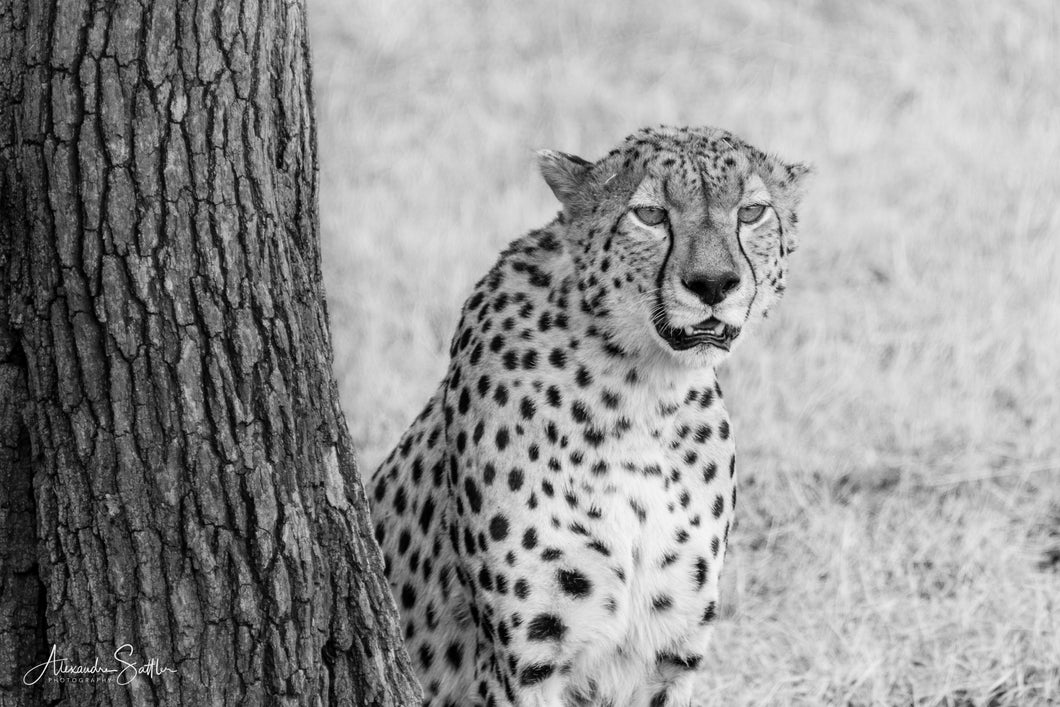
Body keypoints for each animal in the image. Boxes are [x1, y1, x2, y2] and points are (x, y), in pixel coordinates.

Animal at [368, 127, 805, 707]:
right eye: (650, 214)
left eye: (752, 212)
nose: (713, 284)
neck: (643, 394)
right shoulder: (524, 665)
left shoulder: (671, 656)